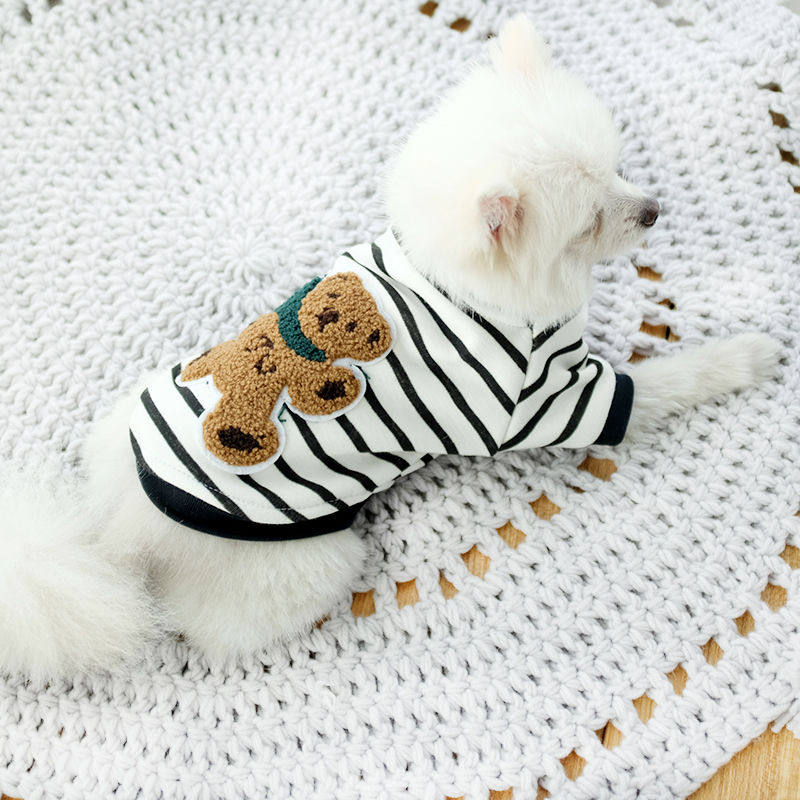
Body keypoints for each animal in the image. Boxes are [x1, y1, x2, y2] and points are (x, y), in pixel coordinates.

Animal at [180, 271, 392, 468]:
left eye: (352, 325)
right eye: (333, 295)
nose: (330, 314)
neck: (296, 341)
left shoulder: (304, 371)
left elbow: (315, 388)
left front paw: (335, 387)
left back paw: (237, 437)